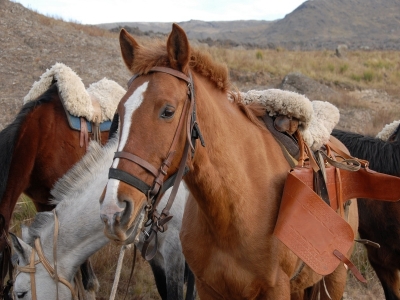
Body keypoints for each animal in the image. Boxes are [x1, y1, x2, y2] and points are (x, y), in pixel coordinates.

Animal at [100, 24, 360, 298]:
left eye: (168, 111)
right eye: (120, 111)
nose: (113, 211)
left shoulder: (277, 288)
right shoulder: (206, 286)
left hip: (335, 277)